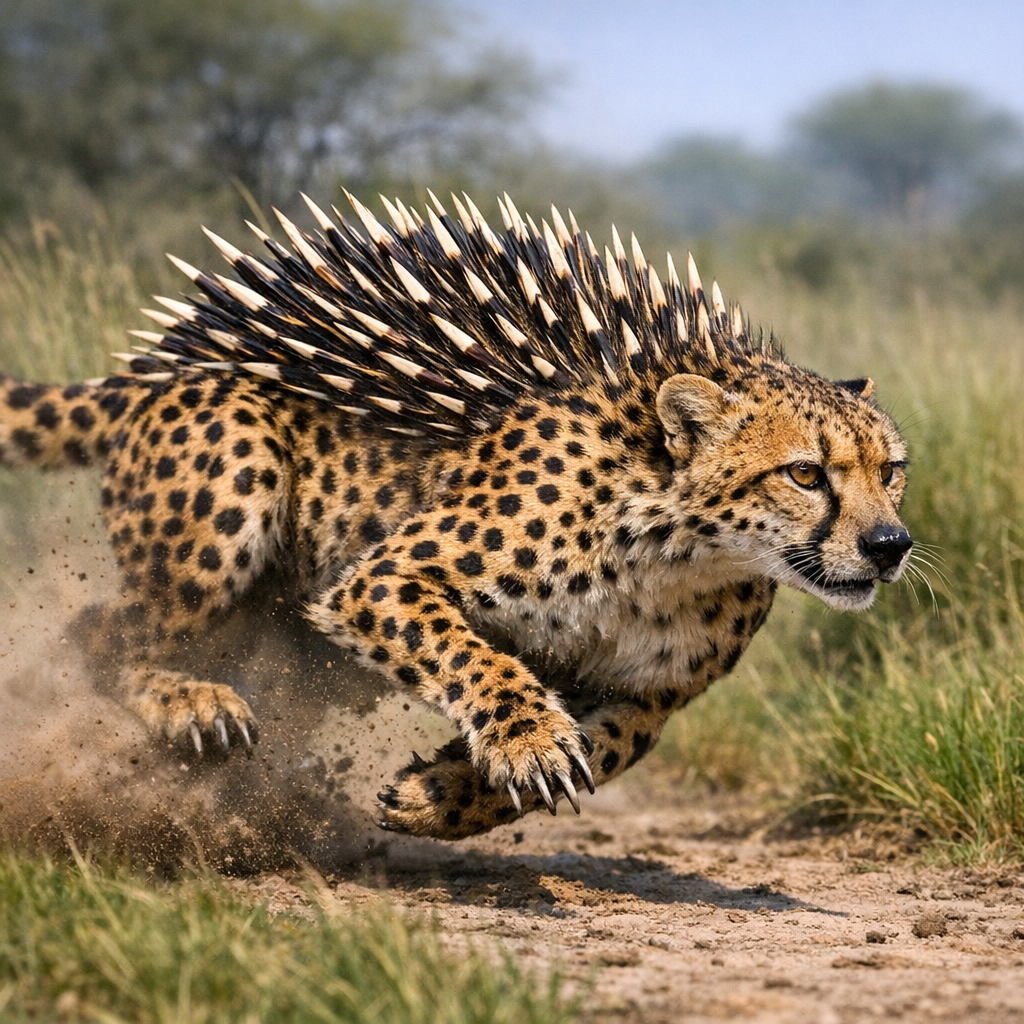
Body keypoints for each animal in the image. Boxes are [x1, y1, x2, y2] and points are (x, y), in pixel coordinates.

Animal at [0, 190, 912, 839]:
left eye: (892, 471)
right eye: (805, 473)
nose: (890, 544)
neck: (683, 555)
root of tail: (147, 371)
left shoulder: (645, 696)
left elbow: (605, 749)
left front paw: (445, 794)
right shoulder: (381, 581)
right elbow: (476, 660)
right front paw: (528, 743)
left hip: (288, 633)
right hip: (234, 468)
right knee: (98, 629)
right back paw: (193, 704)